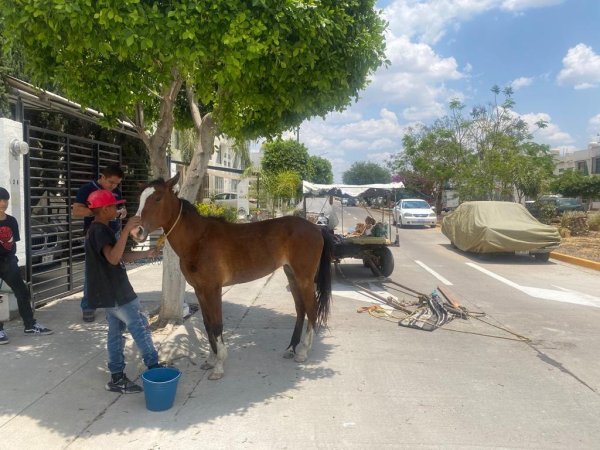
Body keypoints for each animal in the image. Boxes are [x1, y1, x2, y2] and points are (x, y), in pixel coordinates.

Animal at [130, 174, 332, 378]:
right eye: (139, 198)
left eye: (157, 198)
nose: (136, 232)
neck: (197, 240)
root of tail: (316, 228)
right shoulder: (200, 290)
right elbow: (207, 324)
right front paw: (210, 360)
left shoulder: (213, 289)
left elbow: (217, 325)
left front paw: (219, 365)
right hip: (292, 276)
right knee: (301, 310)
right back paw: (291, 348)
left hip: (305, 279)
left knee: (312, 310)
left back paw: (303, 352)